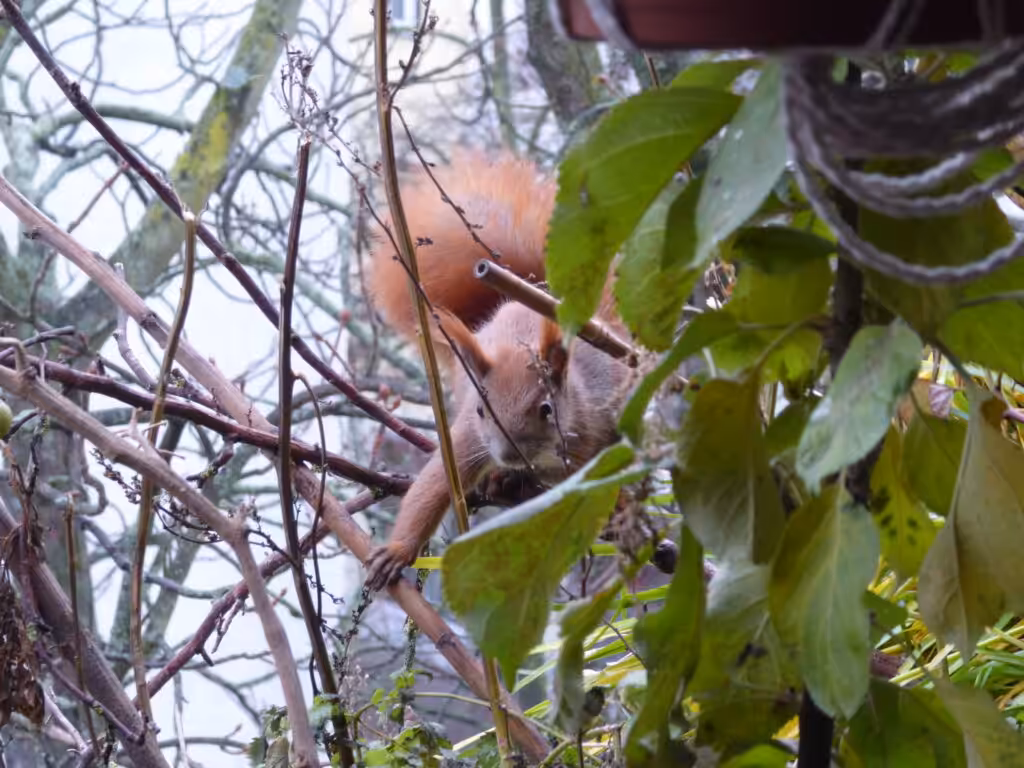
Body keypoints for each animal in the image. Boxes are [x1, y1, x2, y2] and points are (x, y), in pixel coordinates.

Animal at [363, 151, 635, 590]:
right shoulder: (467, 438)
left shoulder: (588, 435)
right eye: (480, 410)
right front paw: (396, 551)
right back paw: (500, 480)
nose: (508, 455)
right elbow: (432, 486)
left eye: (547, 409)